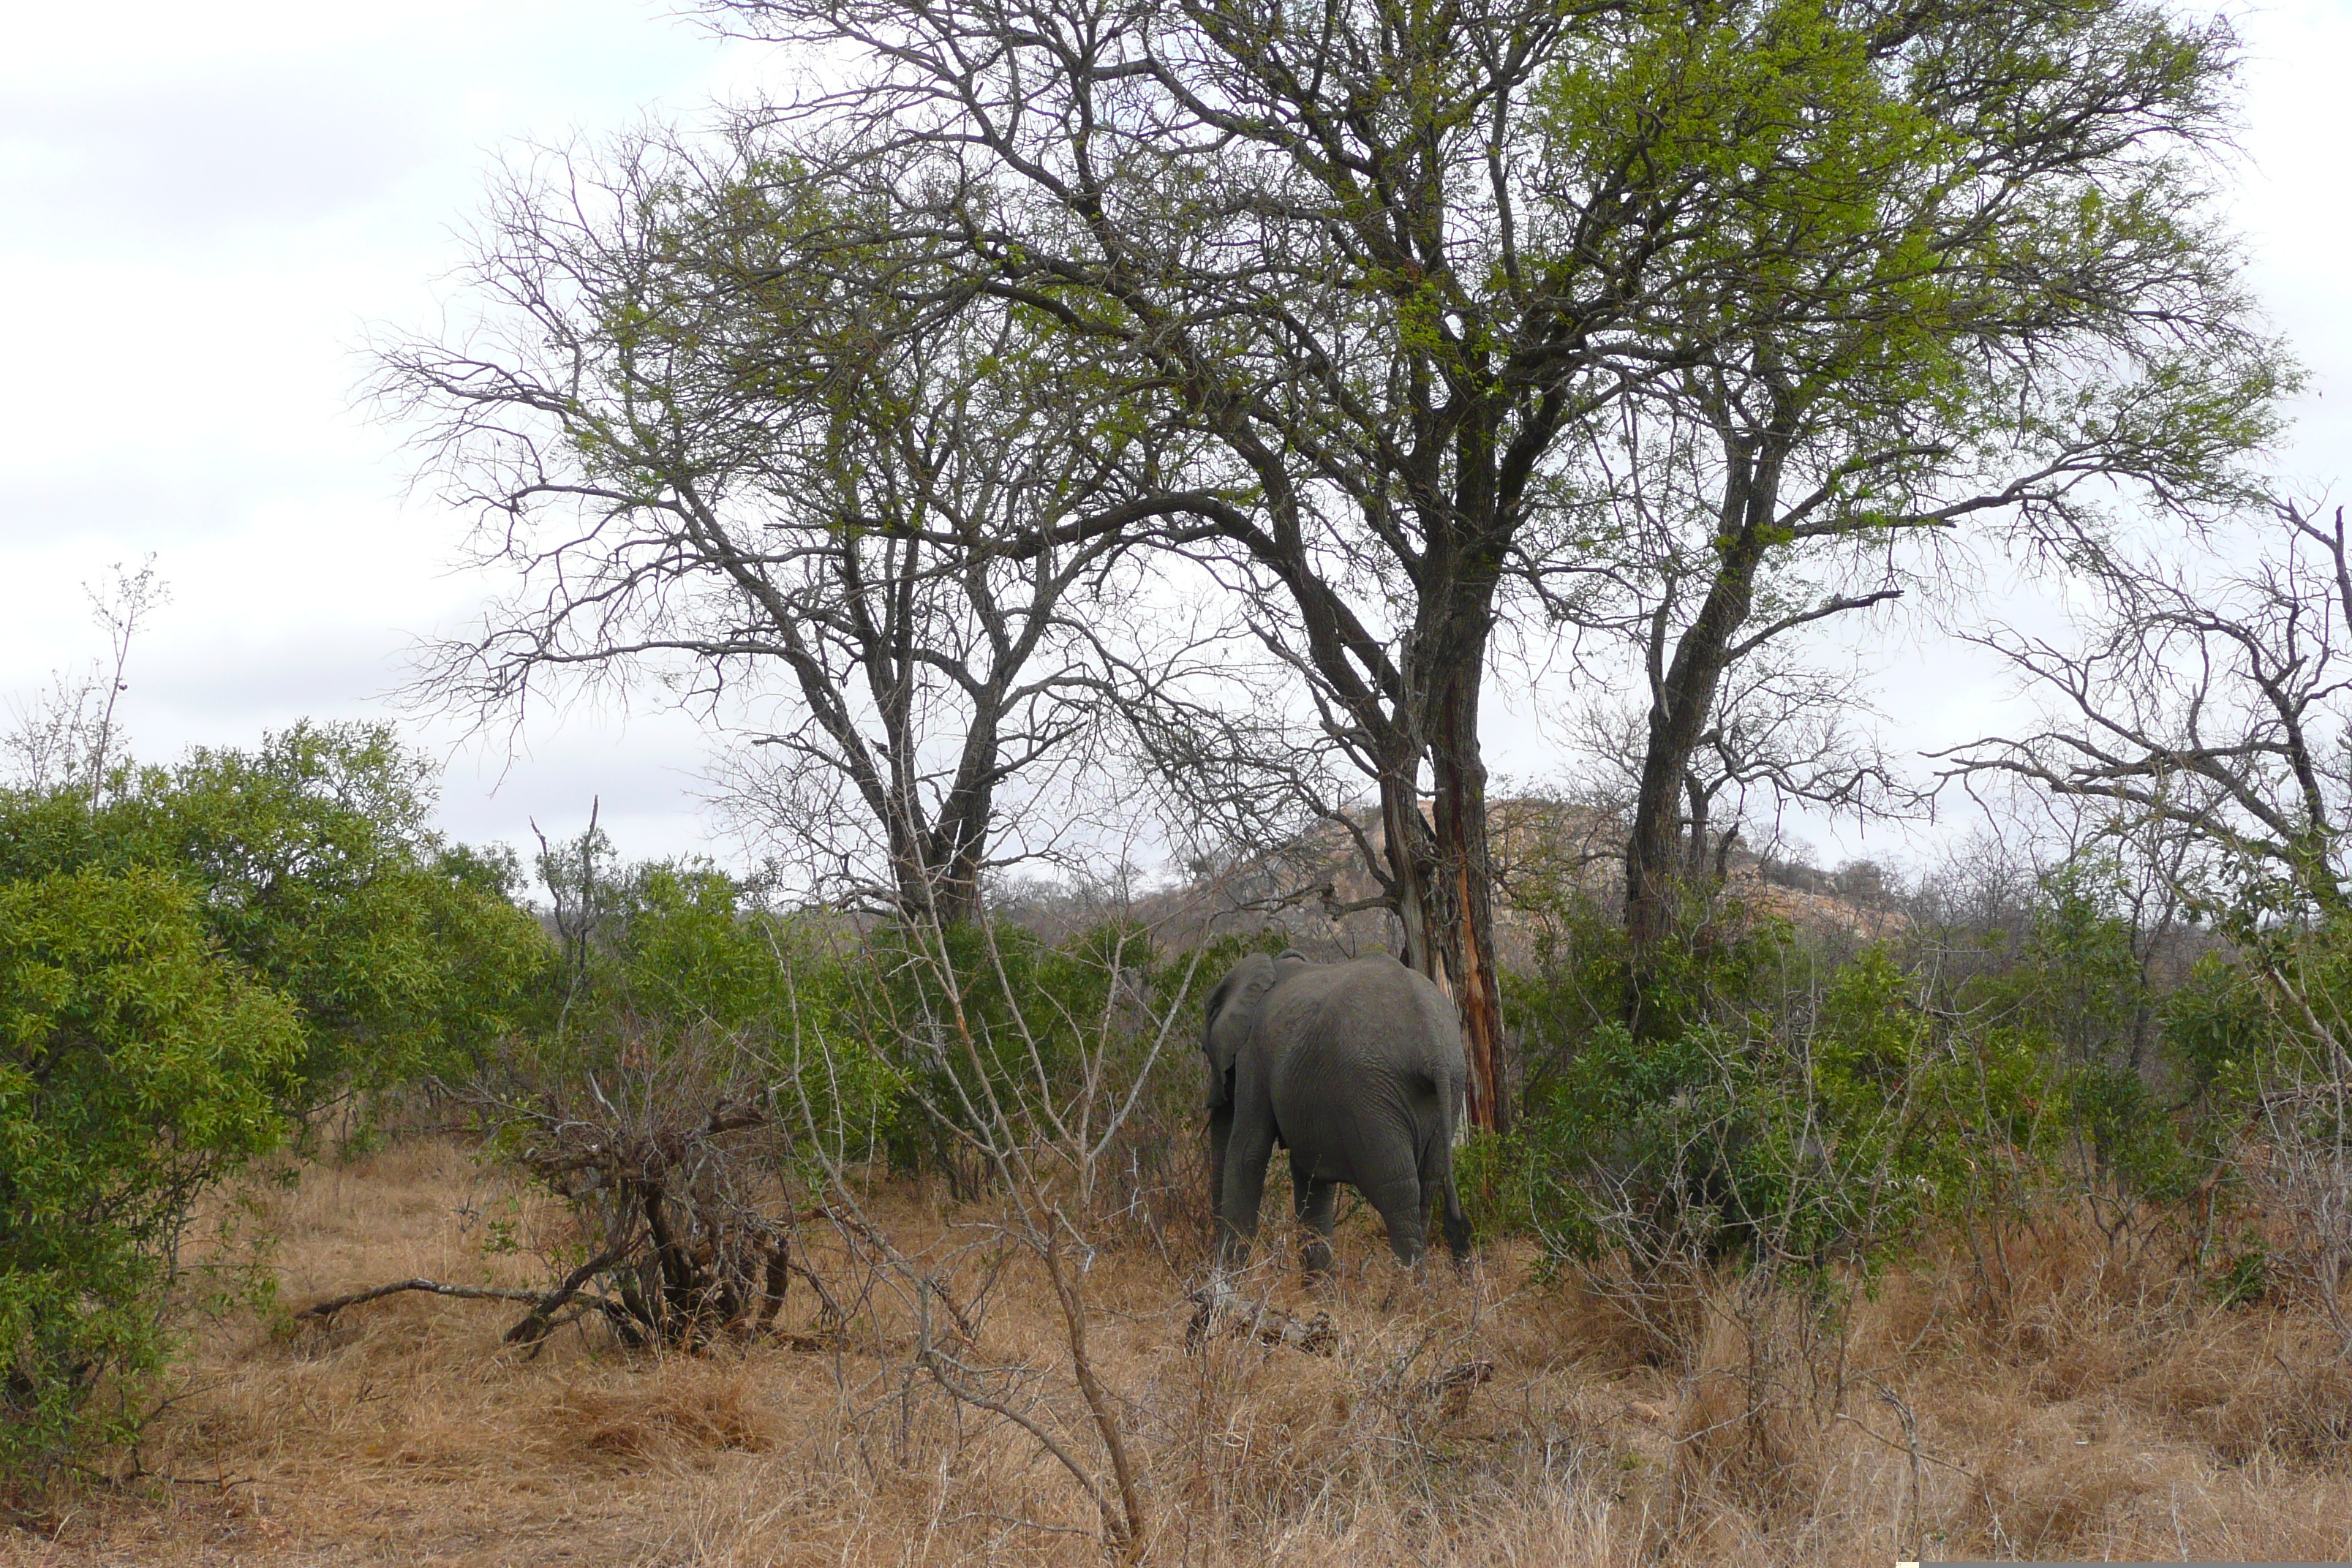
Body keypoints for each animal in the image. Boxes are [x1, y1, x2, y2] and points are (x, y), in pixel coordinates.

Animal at [1194, 945, 1467, 1278]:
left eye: (1205, 1050)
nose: (1216, 1097)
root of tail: (1432, 1047)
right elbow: (1311, 1175)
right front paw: (1320, 1288)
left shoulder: (1253, 1054)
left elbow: (1249, 1155)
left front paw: (1229, 1281)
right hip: (1448, 1089)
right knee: (1427, 1187)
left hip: (1372, 1096)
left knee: (1397, 1192)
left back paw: (1407, 1288)